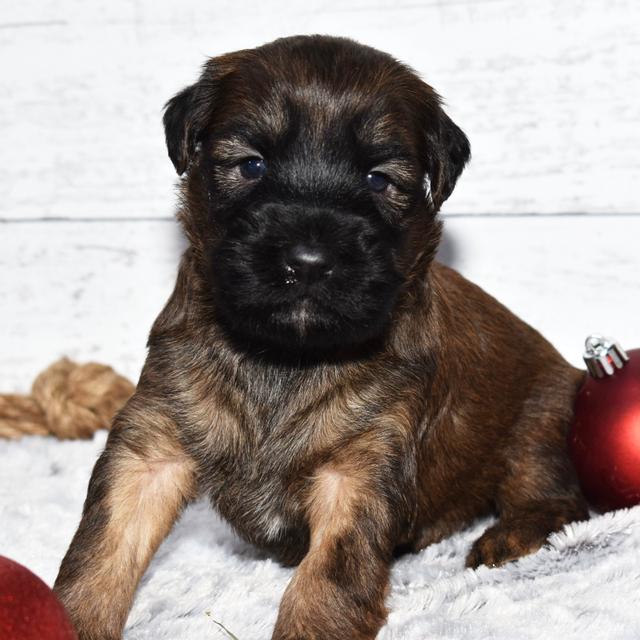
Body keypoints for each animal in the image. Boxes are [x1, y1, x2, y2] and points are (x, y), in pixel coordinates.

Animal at [52, 35, 588, 640]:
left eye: (378, 179)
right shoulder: (151, 447)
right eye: (252, 165)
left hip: (540, 421)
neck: (284, 358)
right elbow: (100, 550)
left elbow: (327, 579)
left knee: (556, 494)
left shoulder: (359, 471)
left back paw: (509, 536)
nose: (308, 262)